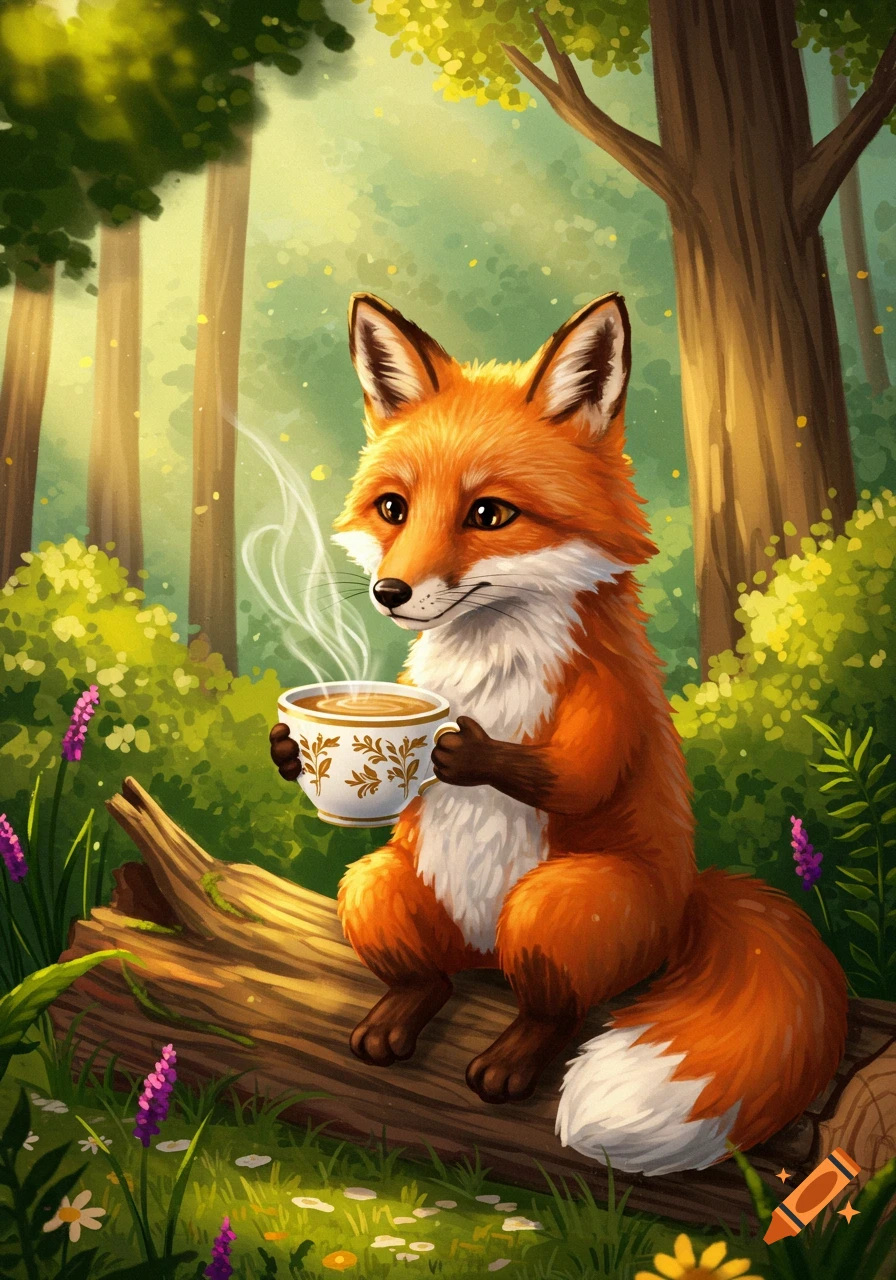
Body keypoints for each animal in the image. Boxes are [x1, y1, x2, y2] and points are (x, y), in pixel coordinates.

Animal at [269, 291, 848, 1176]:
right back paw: (400, 1012)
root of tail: (688, 897)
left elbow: (573, 775)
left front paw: (466, 750)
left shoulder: (612, 702)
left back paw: (512, 1059)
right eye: (394, 508)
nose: (389, 592)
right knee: (430, 976)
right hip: (380, 887)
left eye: (489, 514)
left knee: (555, 1010)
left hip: (559, 908)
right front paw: (288, 750)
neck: (491, 660)